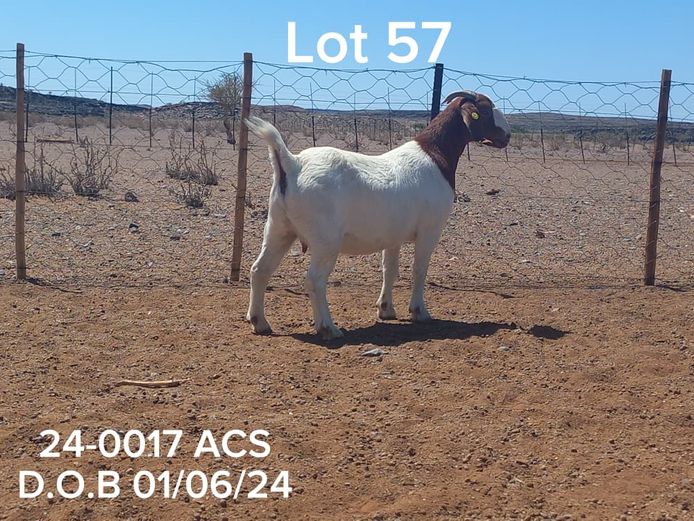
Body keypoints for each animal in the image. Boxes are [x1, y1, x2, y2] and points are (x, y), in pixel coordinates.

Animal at [245, 91, 511, 340]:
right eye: (485, 110)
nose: (507, 135)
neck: (435, 155)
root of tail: (292, 163)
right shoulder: (430, 229)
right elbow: (419, 269)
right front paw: (419, 312)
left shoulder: (393, 236)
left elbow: (389, 269)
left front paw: (386, 309)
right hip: (325, 240)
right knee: (314, 280)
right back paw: (328, 328)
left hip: (279, 227)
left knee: (260, 270)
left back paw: (260, 322)